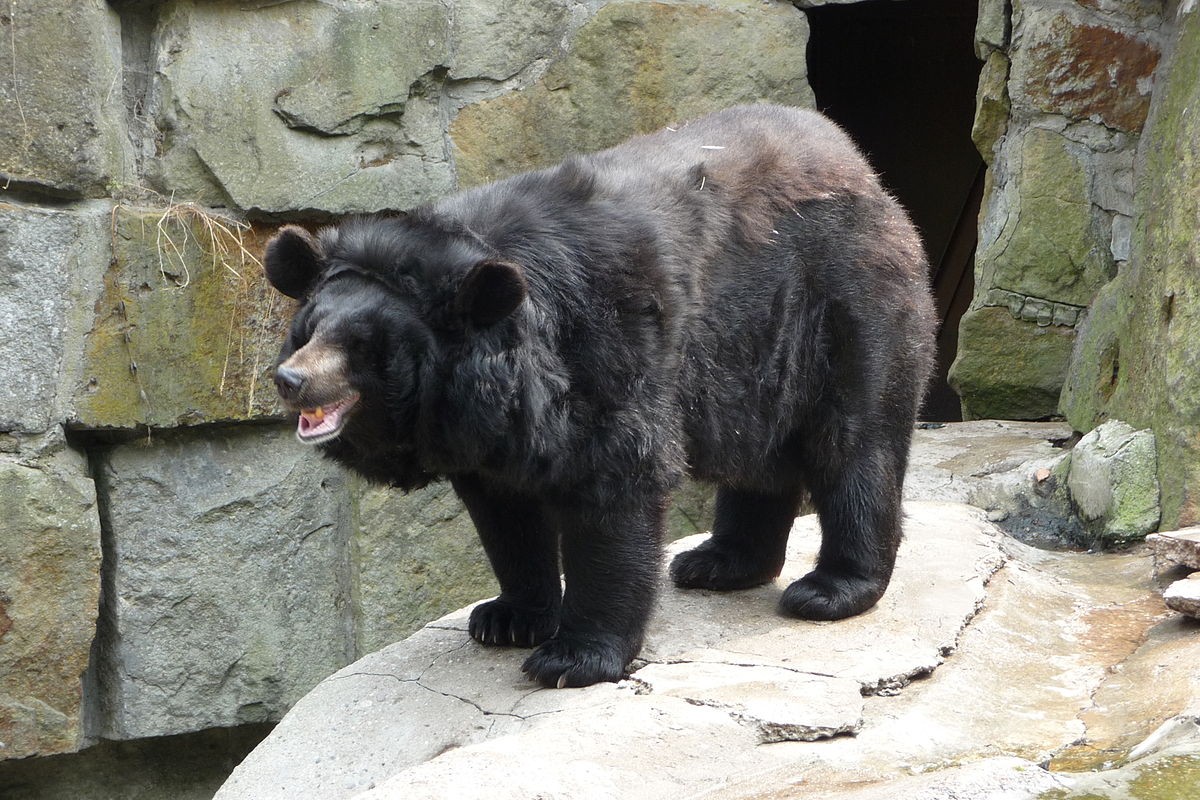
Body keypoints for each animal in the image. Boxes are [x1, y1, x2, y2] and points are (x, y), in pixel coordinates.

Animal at [265, 103, 936, 690]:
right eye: (309, 328)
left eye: (362, 344)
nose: (290, 380)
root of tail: (865, 171)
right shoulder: (489, 430)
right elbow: (506, 513)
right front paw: (507, 617)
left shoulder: (605, 341)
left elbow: (615, 481)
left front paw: (571, 659)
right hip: (756, 349)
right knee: (760, 454)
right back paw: (718, 562)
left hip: (845, 302)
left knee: (855, 442)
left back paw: (829, 589)